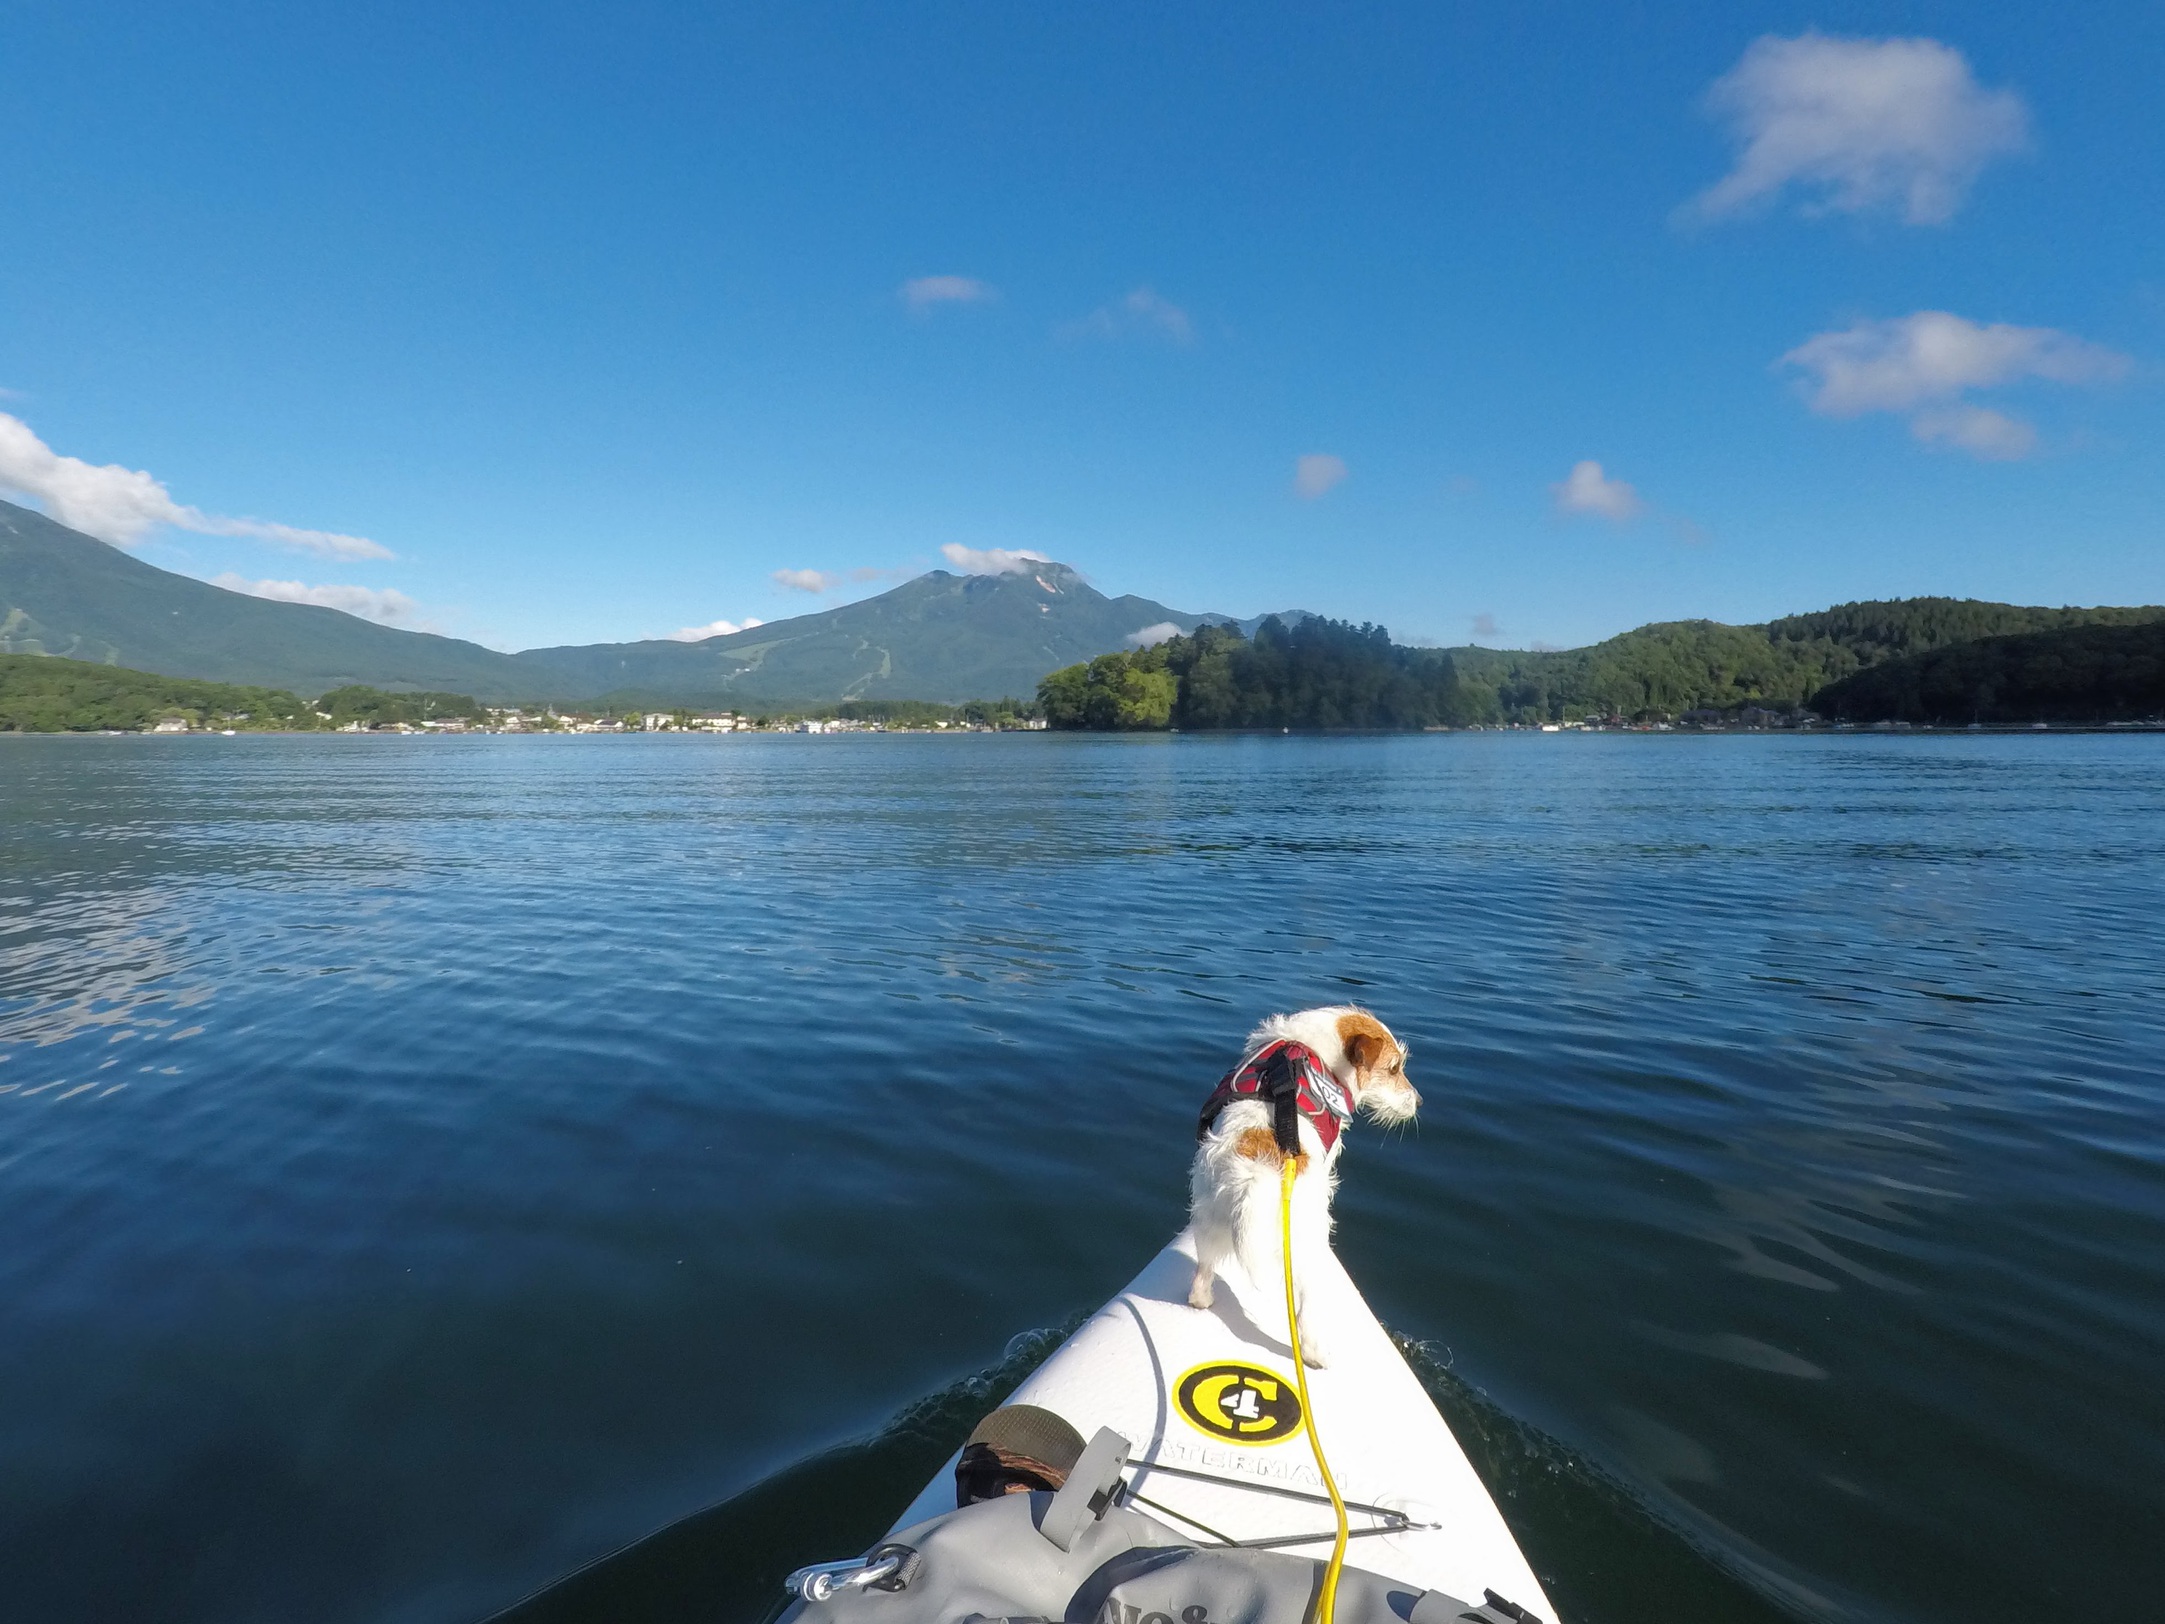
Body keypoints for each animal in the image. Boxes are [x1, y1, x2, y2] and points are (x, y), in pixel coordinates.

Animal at [1186, 1004, 1420, 1377]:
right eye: (1394, 1068)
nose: (1419, 1102)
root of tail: (1257, 1173)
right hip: (1305, 1251)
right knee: (1306, 1312)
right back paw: (1315, 1355)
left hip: (1206, 1220)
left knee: (1200, 1278)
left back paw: (1202, 1300)